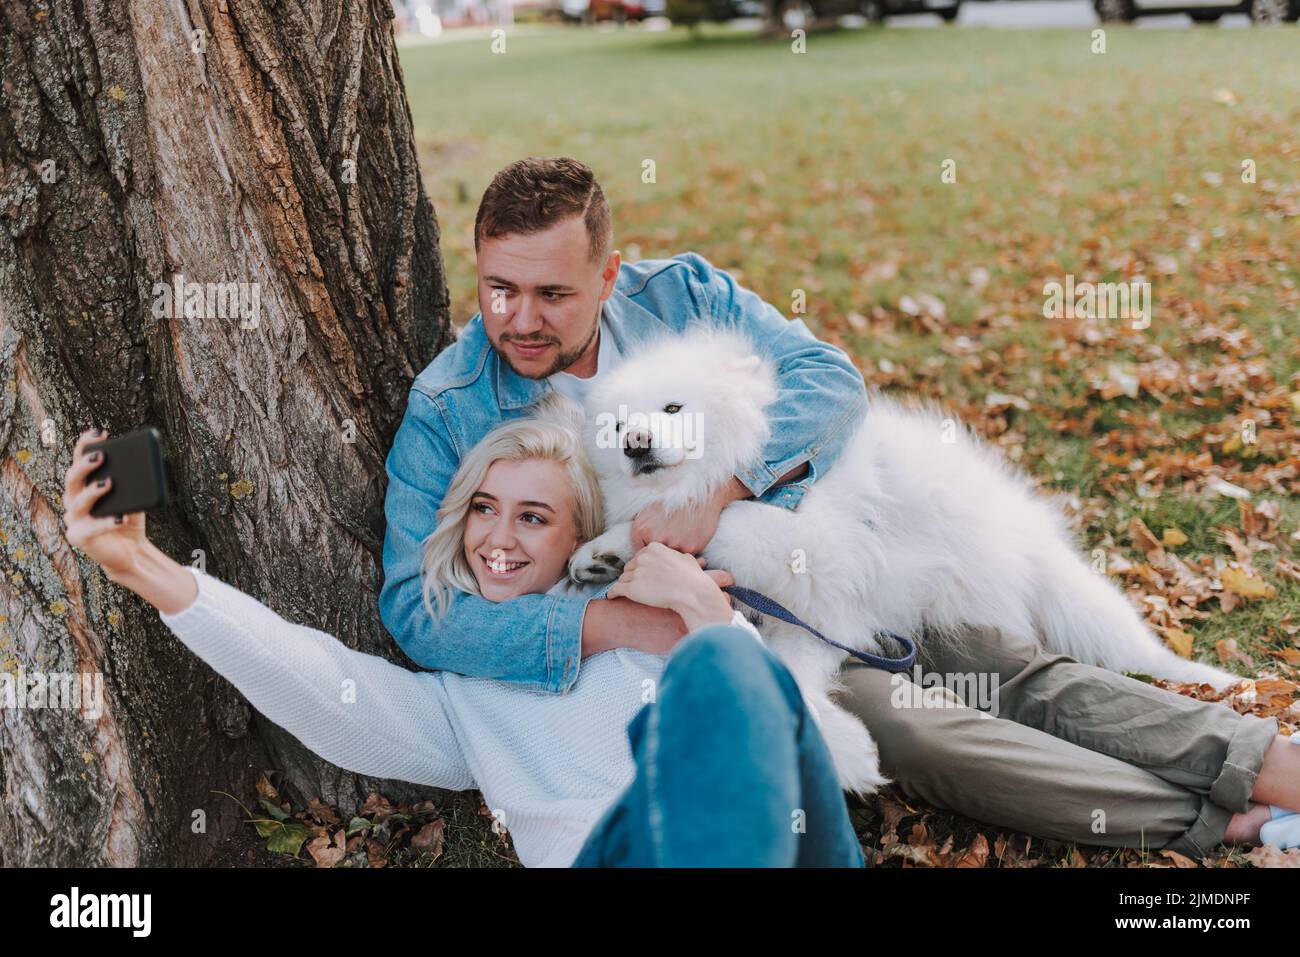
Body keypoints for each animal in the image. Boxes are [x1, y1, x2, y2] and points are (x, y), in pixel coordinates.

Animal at [564, 325, 1232, 795]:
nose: (635, 444)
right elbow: (788, 672)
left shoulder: (817, 561)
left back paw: (1223, 684)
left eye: (674, 409)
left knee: (1137, 652)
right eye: (615, 425)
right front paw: (604, 553)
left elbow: (717, 519)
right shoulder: (818, 622)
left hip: (1065, 595)